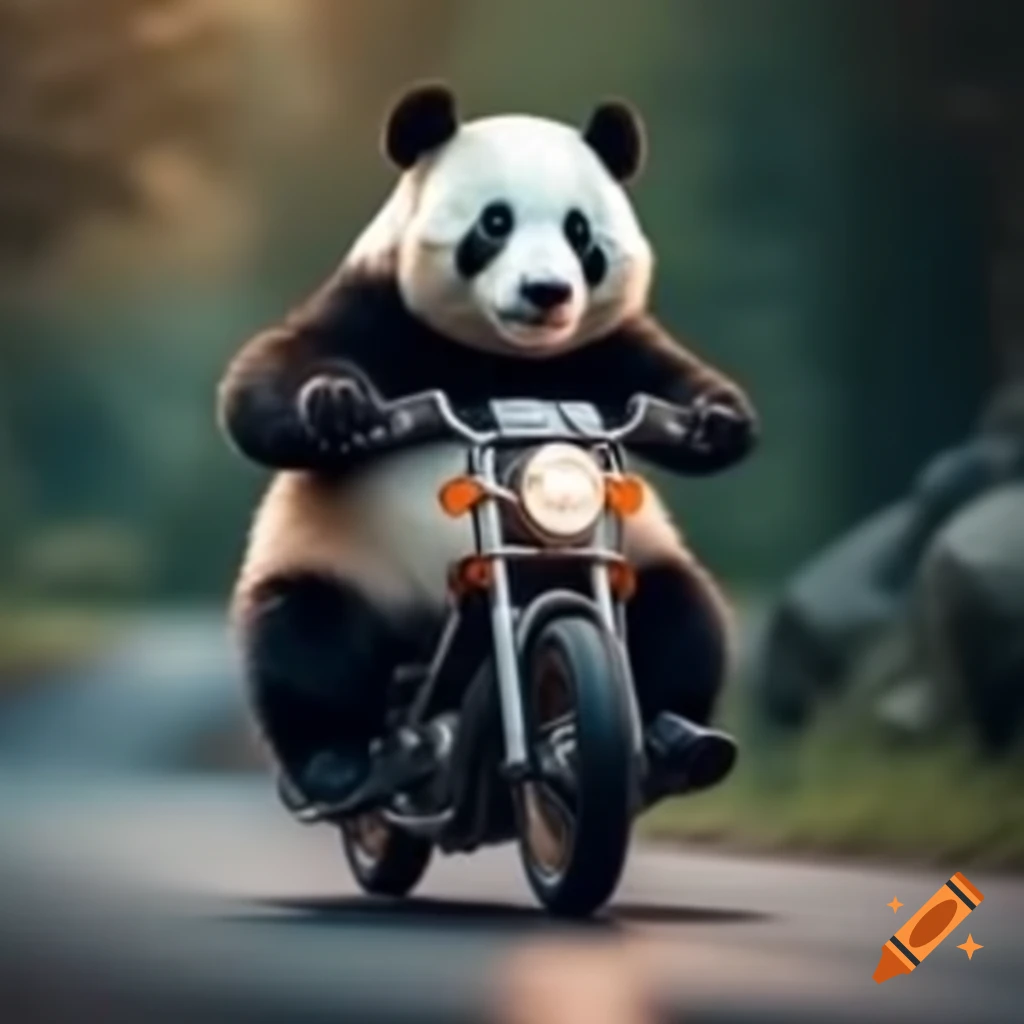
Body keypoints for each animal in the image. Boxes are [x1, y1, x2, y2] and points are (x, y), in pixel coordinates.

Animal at [218, 82, 758, 812]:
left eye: (579, 232)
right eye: (494, 223)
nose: (547, 292)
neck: (503, 363)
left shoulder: (603, 349)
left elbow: (669, 380)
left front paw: (716, 421)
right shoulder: (373, 309)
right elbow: (267, 379)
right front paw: (334, 405)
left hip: (644, 566)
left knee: (684, 619)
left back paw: (679, 736)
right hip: (342, 561)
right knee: (305, 639)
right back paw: (333, 762)